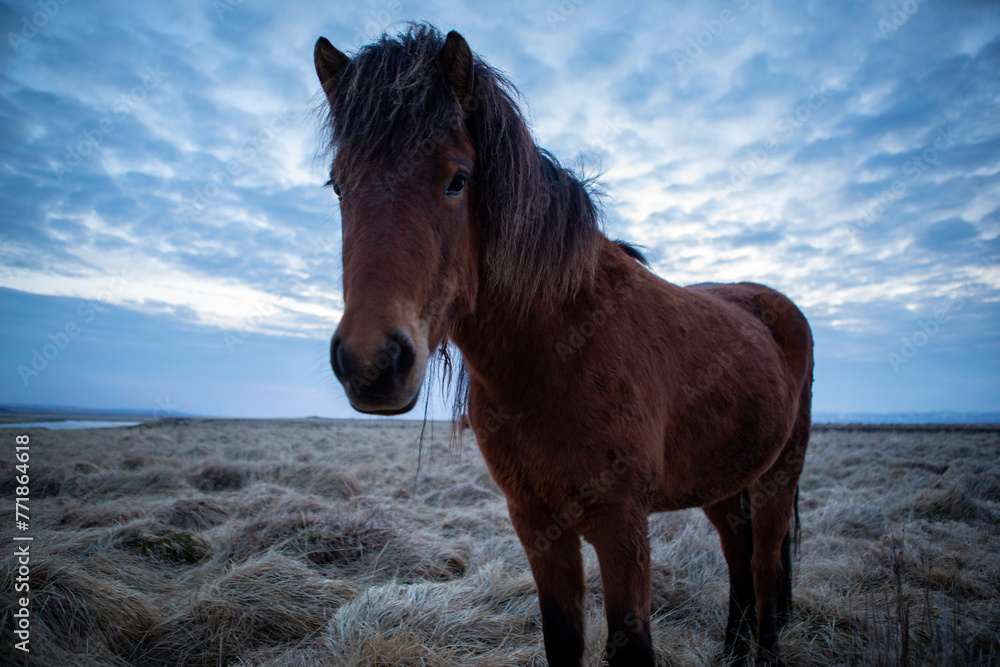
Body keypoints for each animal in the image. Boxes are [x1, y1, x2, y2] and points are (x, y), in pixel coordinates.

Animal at [313, 24, 813, 666]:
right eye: (338, 185)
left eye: (457, 180)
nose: (371, 363)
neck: (556, 352)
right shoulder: (536, 521)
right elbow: (562, 639)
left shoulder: (621, 524)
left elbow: (631, 644)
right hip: (725, 482)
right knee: (738, 558)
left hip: (777, 477)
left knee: (766, 566)